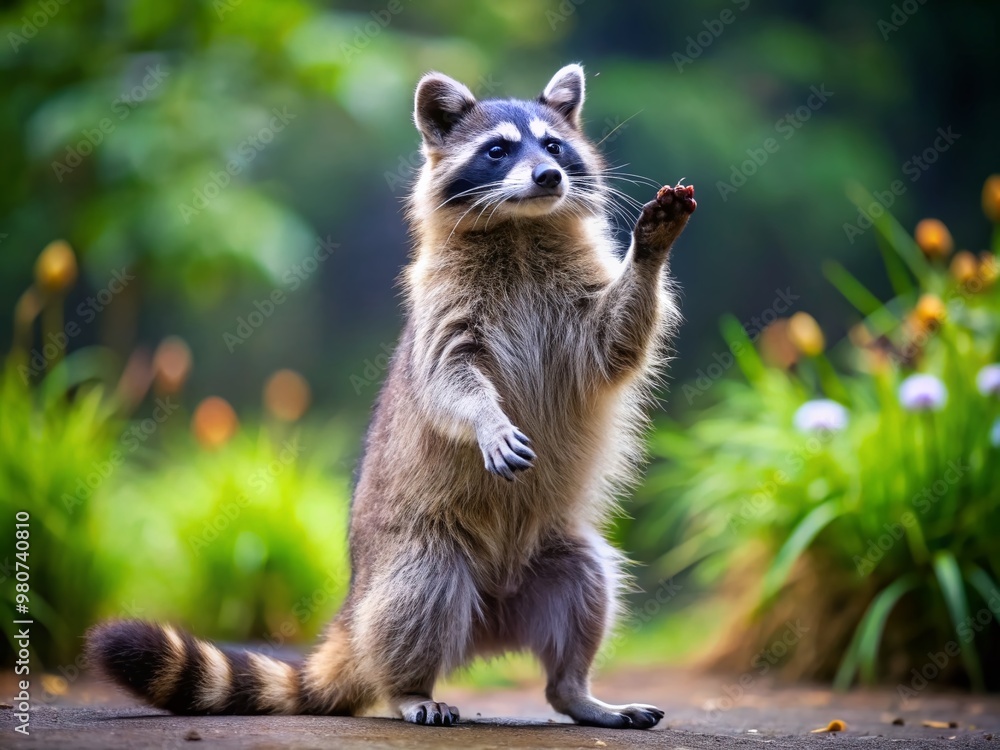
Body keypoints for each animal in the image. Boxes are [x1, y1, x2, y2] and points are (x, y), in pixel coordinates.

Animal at [87, 64, 696, 729]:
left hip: (555, 547)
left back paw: (576, 690)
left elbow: (615, 343)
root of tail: (491, 627)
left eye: (555, 147)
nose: (548, 177)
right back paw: (410, 688)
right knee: (419, 596)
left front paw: (650, 251)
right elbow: (449, 380)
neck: (520, 225)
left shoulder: (577, 307)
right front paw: (485, 418)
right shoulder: (443, 307)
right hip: (416, 548)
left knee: (588, 582)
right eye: (498, 151)